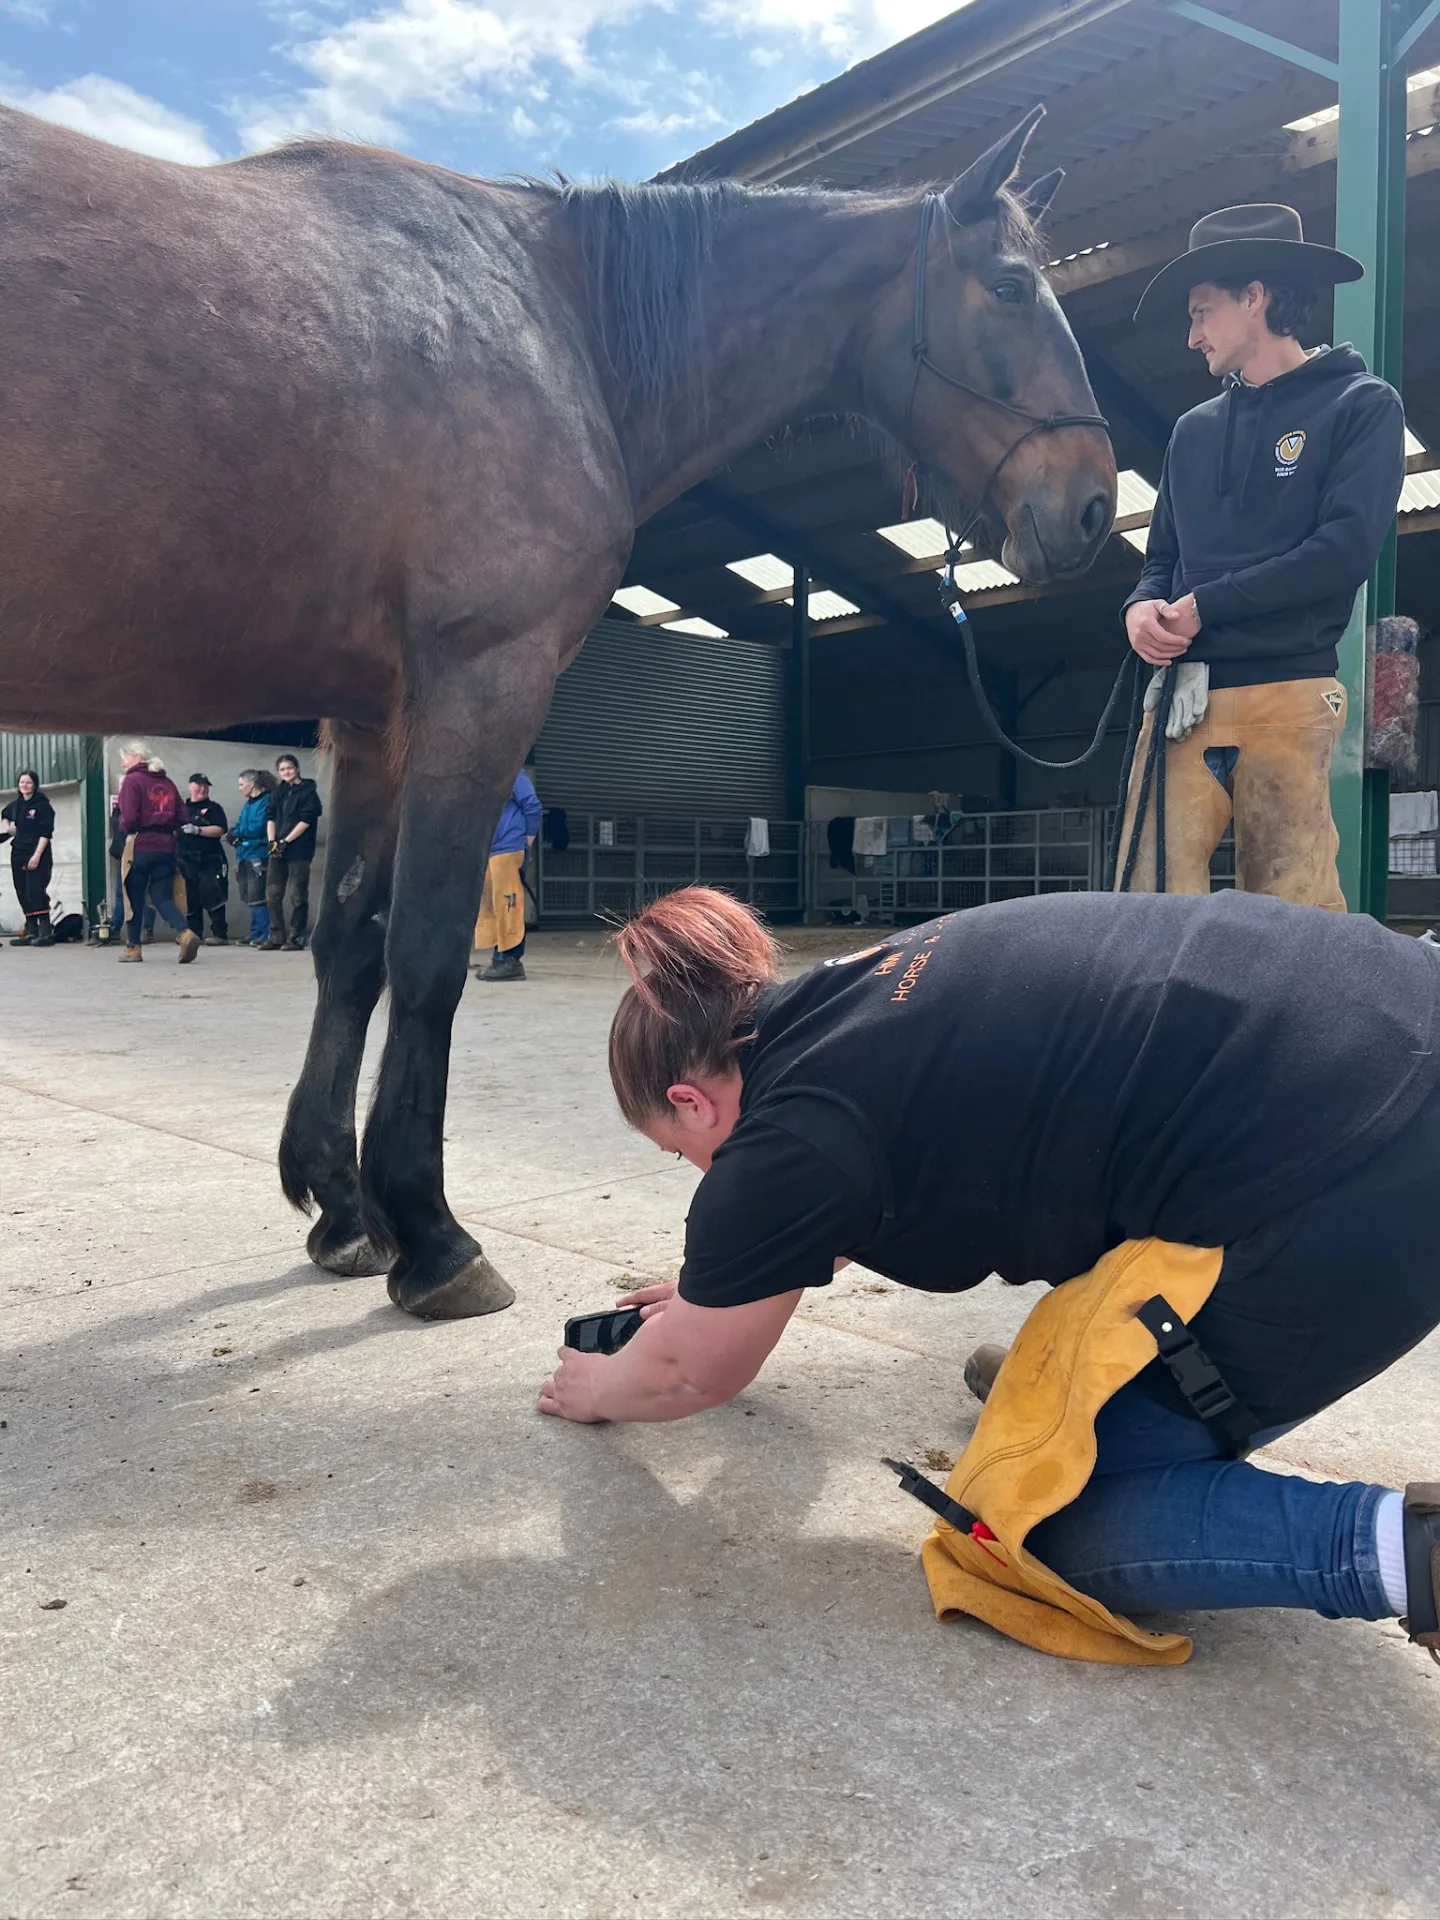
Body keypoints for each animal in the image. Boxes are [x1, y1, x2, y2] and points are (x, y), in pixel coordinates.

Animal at [0, 101, 1115, 1319]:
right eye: (1009, 285)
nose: (1096, 504)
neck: (559, 324)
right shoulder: (483, 681)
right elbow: (428, 954)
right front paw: (429, 1233)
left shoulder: (375, 721)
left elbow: (348, 945)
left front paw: (341, 1209)